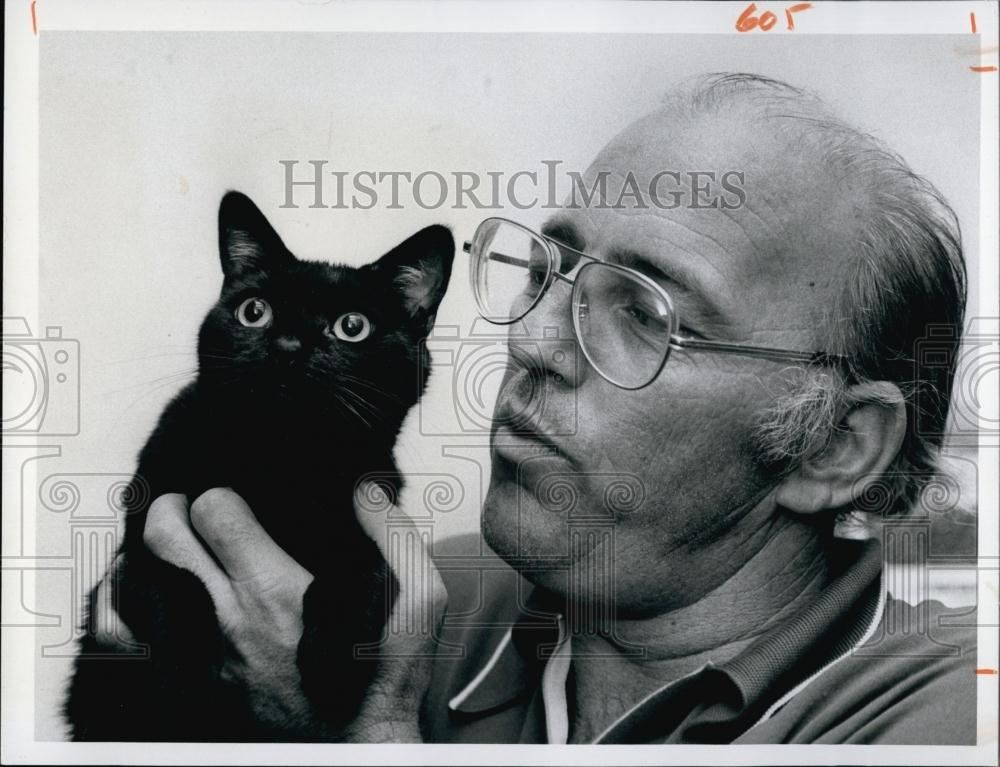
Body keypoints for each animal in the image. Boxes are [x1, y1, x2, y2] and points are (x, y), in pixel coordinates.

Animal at [70, 192, 458, 744]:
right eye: (255, 311)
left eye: (353, 326)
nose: (288, 346)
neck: (278, 461)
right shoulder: (135, 545)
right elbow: (173, 580)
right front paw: (184, 677)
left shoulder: (374, 506)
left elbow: (364, 569)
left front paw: (333, 667)